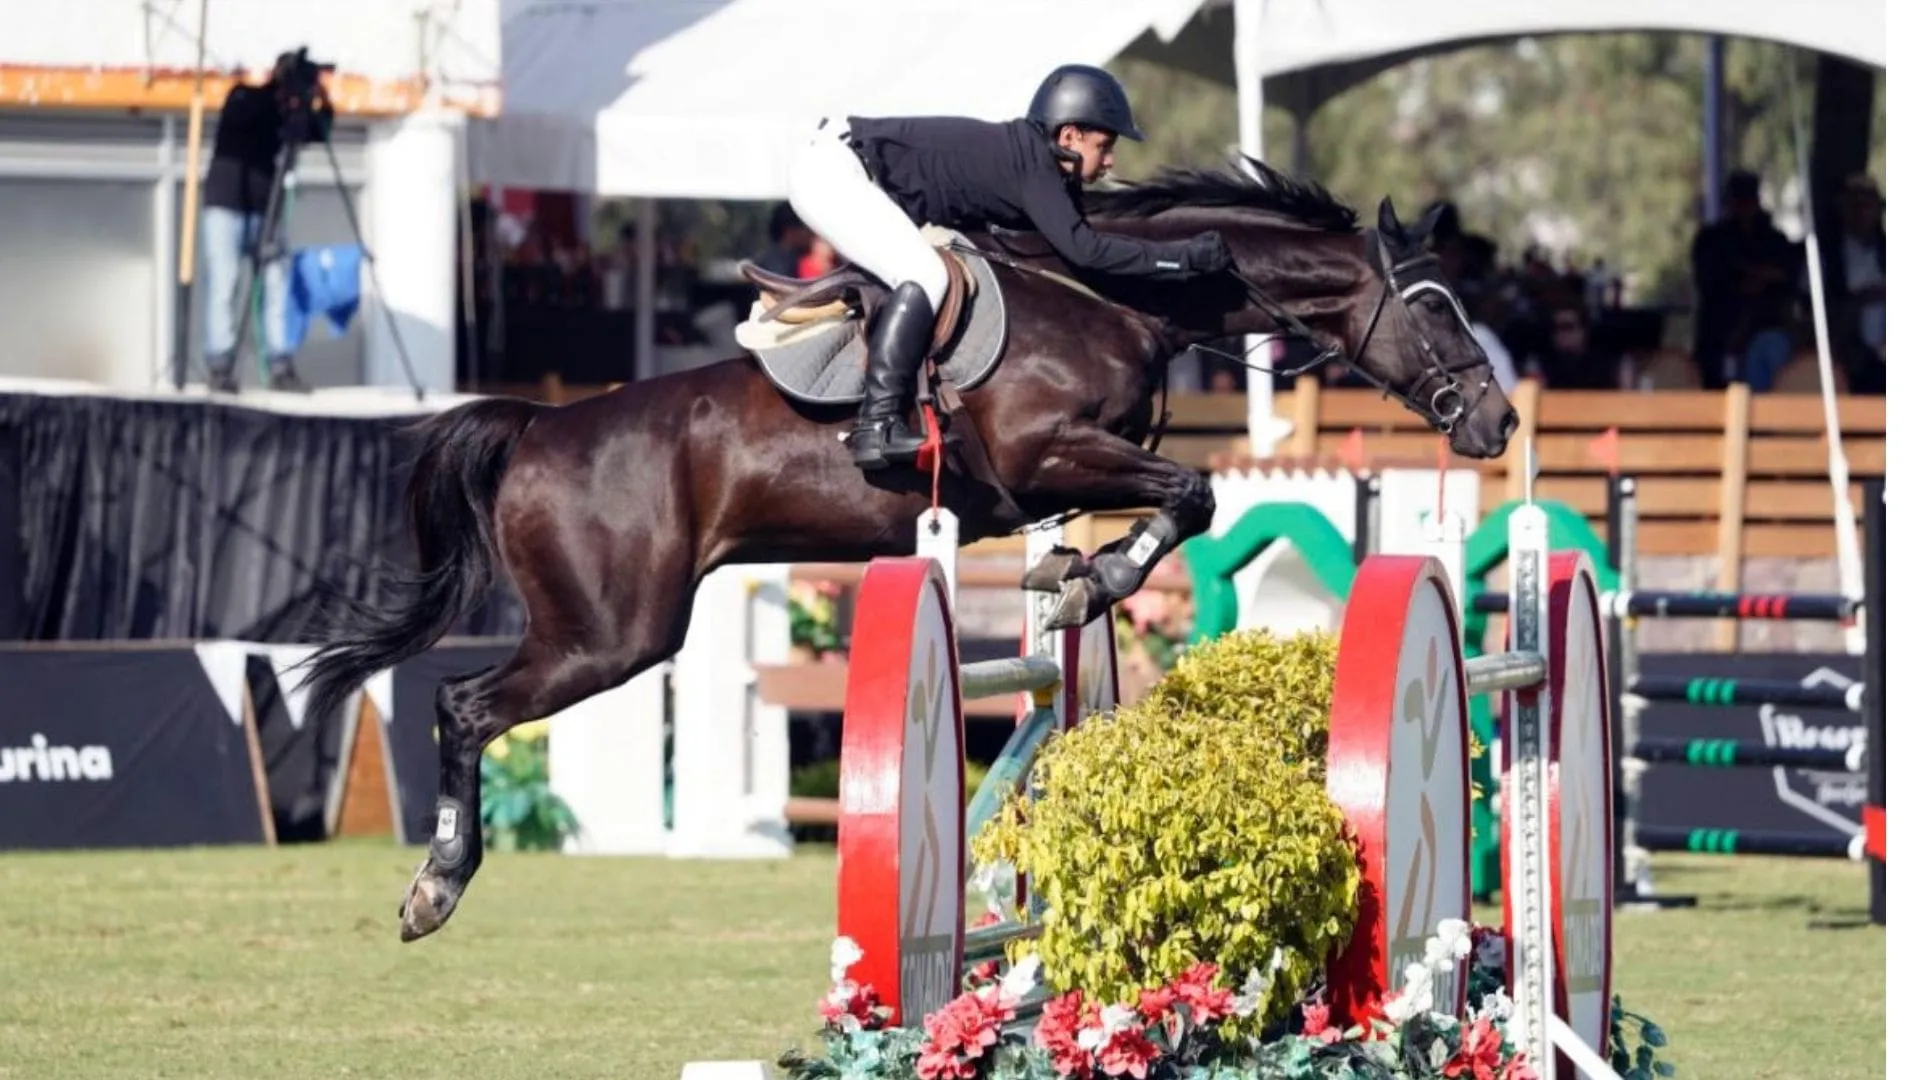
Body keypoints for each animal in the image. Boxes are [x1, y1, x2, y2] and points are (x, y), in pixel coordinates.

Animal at [296, 157, 1519, 942]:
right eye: (1436, 307)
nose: (1499, 423)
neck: (1110, 293)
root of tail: (540, 427)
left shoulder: (1065, 472)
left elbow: (1177, 501)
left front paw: (1070, 581)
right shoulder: (1048, 454)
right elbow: (1195, 493)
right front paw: (1094, 583)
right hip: (608, 633)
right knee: (463, 708)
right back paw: (435, 887)